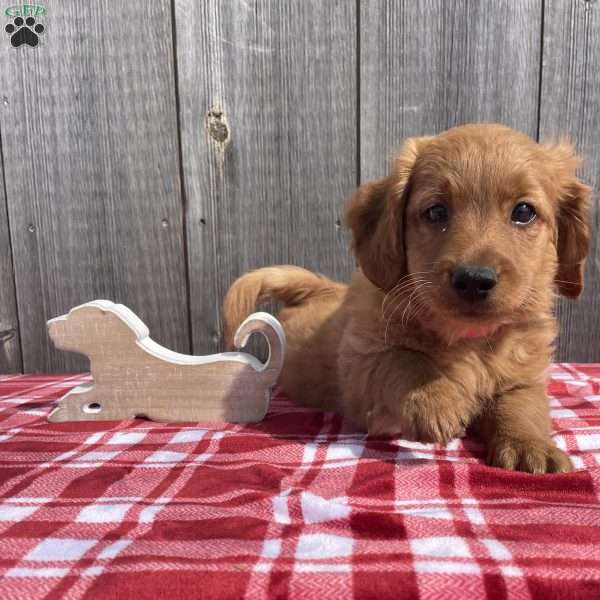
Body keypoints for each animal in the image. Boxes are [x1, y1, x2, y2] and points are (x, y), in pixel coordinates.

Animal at [221, 124, 592, 476]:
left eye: (524, 211)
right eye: (436, 212)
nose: (474, 279)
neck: (468, 340)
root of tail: (323, 288)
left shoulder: (525, 376)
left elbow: (522, 405)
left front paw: (532, 445)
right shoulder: (363, 368)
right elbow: (403, 359)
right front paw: (434, 402)